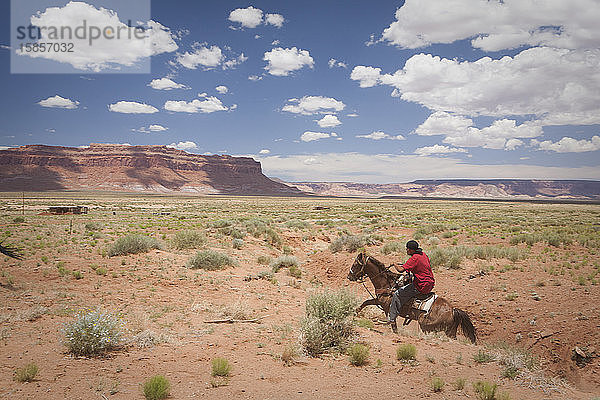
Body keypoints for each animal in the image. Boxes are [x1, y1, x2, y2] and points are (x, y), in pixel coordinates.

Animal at [346, 252, 478, 342]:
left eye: (355, 264)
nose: (349, 276)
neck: (389, 284)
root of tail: (452, 310)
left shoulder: (387, 307)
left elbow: (392, 323)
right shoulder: (379, 301)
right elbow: (366, 302)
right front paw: (355, 312)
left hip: (426, 325)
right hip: (450, 331)